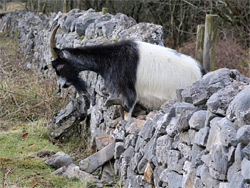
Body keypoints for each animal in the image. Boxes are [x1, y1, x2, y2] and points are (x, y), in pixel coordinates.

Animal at [49, 25, 206, 119]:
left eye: (59, 67)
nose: (61, 86)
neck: (113, 58)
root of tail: (201, 72)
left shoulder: (129, 94)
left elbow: (126, 116)